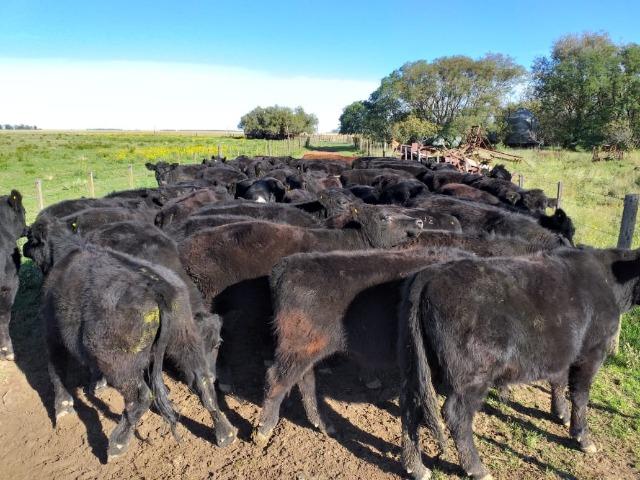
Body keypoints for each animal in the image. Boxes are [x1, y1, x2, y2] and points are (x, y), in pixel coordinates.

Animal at [27, 219, 237, 459]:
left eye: (31, 239)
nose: (23, 249)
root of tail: (157, 287)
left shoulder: (51, 331)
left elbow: (56, 370)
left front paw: (62, 406)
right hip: (184, 342)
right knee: (201, 381)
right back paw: (225, 432)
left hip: (118, 363)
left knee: (140, 397)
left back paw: (117, 443)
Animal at [397, 247, 640, 480]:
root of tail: (431, 274)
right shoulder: (592, 352)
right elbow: (580, 396)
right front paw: (582, 437)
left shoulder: (564, 350)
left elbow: (559, 381)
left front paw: (560, 413)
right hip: (473, 375)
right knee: (456, 415)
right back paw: (477, 469)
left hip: (420, 365)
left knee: (411, 406)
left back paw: (416, 468)